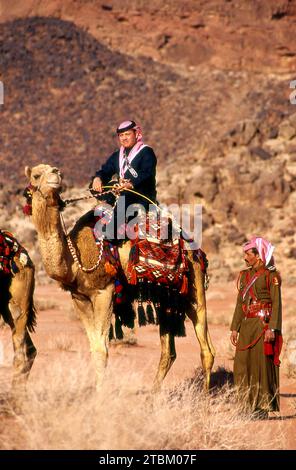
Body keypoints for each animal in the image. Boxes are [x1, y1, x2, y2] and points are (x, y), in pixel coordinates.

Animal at [24, 163, 215, 392]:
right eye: (36, 175)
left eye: (54, 170)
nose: (56, 173)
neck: (75, 259)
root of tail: (195, 248)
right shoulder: (79, 298)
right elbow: (93, 346)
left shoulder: (104, 291)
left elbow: (102, 350)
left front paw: (100, 395)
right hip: (167, 296)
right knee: (169, 351)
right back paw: (153, 395)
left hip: (194, 286)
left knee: (206, 347)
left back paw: (205, 397)